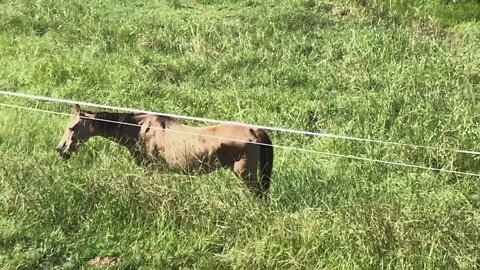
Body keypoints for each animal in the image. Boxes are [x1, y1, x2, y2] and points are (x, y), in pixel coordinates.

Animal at [56, 105, 274, 196]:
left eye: (72, 127)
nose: (61, 149)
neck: (139, 129)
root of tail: (254, 130)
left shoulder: (150, 169)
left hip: (246, 174)